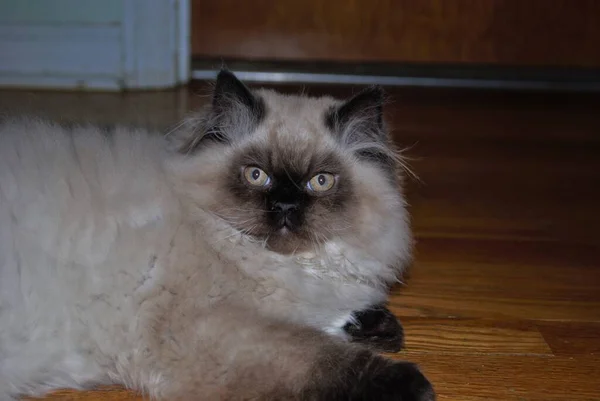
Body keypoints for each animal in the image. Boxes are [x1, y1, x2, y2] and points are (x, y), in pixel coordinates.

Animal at [0, 70, 434, 398]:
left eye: (320, 182)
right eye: (257, 176)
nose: (285, 206)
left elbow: (343, 320)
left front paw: (378, 328)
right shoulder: (209, 331)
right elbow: (322, 359)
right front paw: (412, 383)